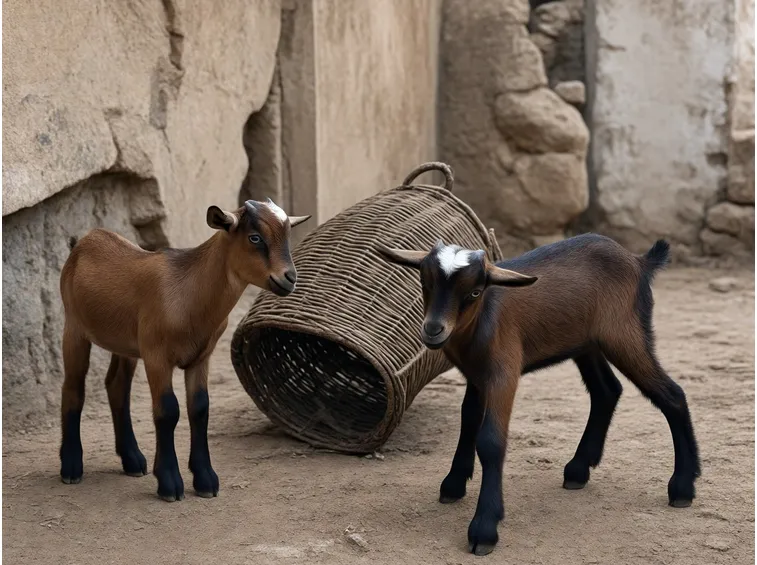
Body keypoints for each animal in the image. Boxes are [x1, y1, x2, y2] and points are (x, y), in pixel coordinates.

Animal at [59, 199, 310, 501]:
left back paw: (132, 460)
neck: (188, 293)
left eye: (287, 235)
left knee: (117, 386)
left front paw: (205, 480)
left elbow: (200, 408)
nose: (289, 278)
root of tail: (84, 241)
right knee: (73, 387)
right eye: (255, 238)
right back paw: (71, 466)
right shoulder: (157, 356)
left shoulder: (201, 357)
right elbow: (168, 410)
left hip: (126, 344)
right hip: (74, 328)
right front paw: (169, 482)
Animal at [378, 233, 700, 556]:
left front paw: (484, 528)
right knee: (607, 391)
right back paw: (578, 470)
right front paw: (454, 484)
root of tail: (639, 261)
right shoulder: (476, 375)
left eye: (474, 292)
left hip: (624, 335)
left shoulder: (503, 373)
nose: (433, 330)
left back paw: (682, 487)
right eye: (425, 282)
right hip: (587, 343)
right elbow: (468, 421)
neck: (482, 319)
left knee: (672, 395)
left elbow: (491, 441)